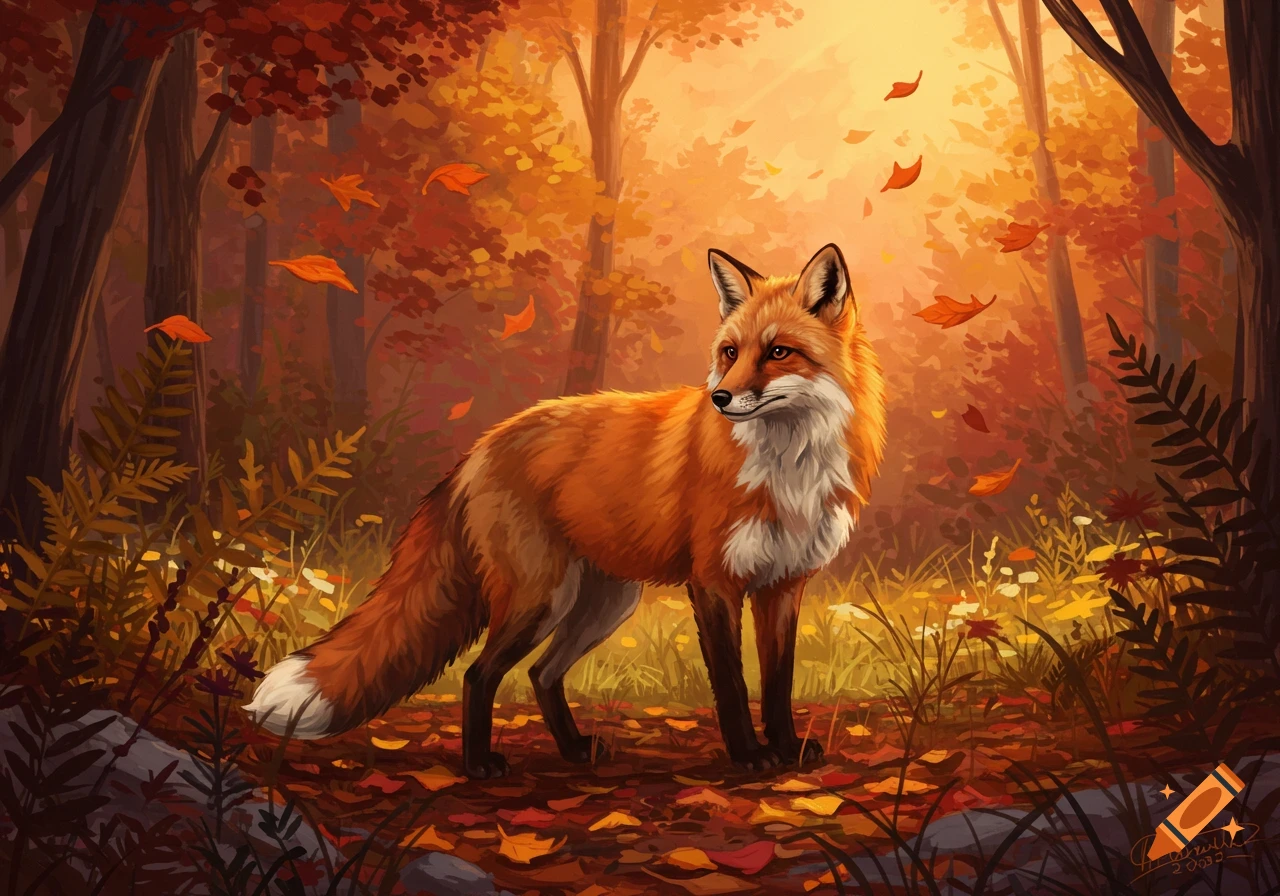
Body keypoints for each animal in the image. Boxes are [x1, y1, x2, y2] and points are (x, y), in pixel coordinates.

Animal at [245, 243, 886, 778]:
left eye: (778, 352)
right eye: (730, 352)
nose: (720, 398)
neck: (789, 469)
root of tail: (481, 446)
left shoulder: (783, 585)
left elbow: (777, 684)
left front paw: (786, 749)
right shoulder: (714, 582)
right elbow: (730, 684)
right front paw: (750, 757)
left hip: (602, 604)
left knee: (541, 673)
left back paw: (575, 750)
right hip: (541, 598)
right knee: (479, 674)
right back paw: (479, 766)